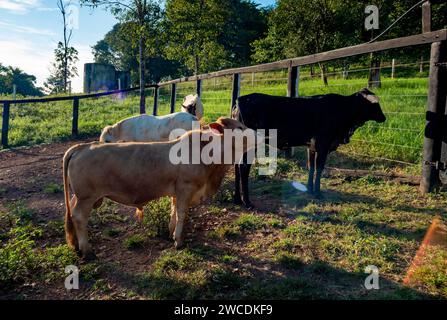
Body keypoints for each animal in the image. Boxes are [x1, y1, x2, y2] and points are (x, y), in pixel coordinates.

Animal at [65, 116, 264, 258]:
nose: (261, 135)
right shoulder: (185, 189)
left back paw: (76, 245)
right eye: (240, 127)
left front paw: (170, 232)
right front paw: (179, 240)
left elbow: (173, 211)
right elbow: (182, 213)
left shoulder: (176, 192)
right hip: (86, 197)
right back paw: (87, 250)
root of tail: (83, 146)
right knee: (79, 217)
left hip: (80, 196)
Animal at [233, 88, 386, 208]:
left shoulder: (311, 147)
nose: (384, 118)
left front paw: (309, 189)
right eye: (374, 104)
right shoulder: (323, 145)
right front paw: (317, 192)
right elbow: (319, 168)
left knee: (236, 166)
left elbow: (311, 167)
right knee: (243, 168)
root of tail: (240, 99)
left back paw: (237, 200)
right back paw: (247, 202)